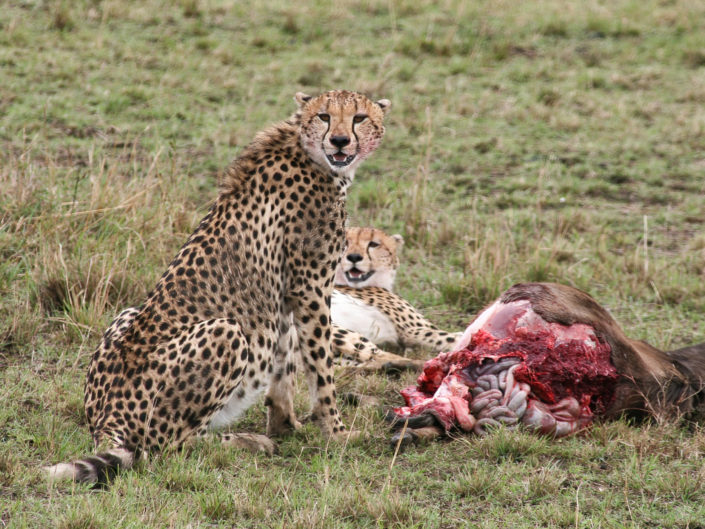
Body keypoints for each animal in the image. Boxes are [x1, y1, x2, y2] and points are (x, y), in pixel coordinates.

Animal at [45, 89, 391, 486]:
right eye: (324, 116)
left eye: (359, 118)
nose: (339, 140)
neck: (309, 152)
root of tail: (105, 418)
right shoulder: (311, 288)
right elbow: (321, 369)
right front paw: (335, 433)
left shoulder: (287, 293)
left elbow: (284, 364)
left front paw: (287, 424)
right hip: (225, 332)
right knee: (169, 447)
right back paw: (246, 441)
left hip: (126, 312)